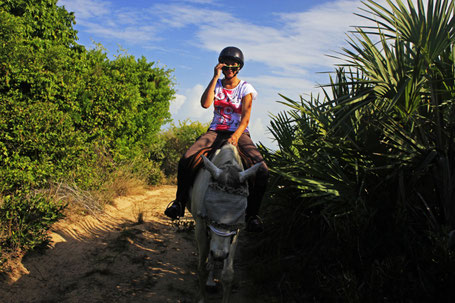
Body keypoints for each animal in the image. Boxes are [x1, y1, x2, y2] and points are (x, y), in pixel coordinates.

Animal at [187, 144, 262, 303]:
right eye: (210, 207)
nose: (220, 254)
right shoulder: (201, 227)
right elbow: (201, 268)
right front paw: (201, 298)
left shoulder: (236, 231)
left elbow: (227, 275)